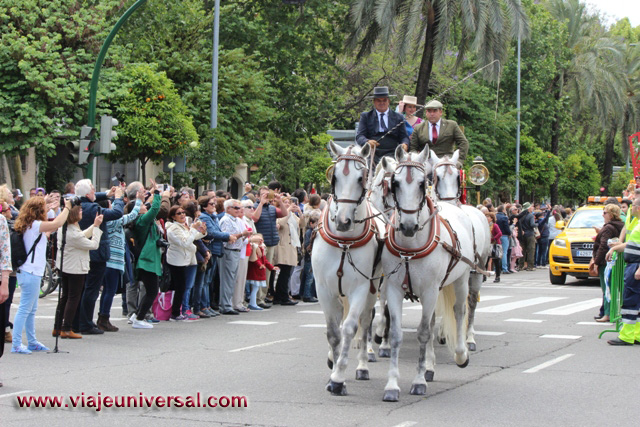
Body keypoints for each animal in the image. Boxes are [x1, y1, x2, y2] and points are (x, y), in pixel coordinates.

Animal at [312, 142, 382, 396]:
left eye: (361, 178)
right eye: (334, 178)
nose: (343, 221)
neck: (344, 242)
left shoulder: (360, 288)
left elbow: (351, 328)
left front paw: (338, 378)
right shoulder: (324, 289)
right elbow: (333, 332)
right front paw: (333, 365)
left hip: (373, 289)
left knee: (366, 322)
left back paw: (362, 365)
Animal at [380, 146, 476, 402]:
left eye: (423, 183)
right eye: (395, 183)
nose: (408, 226)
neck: (410, 247)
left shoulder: (431, 290)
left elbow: (424, 333)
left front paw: (418, 381)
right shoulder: (393, 288)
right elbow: (396, 333)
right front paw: (392, 385)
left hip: (462, 280)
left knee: (459, 311)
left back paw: (461, 354)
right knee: (434, 320)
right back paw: (431, 367)